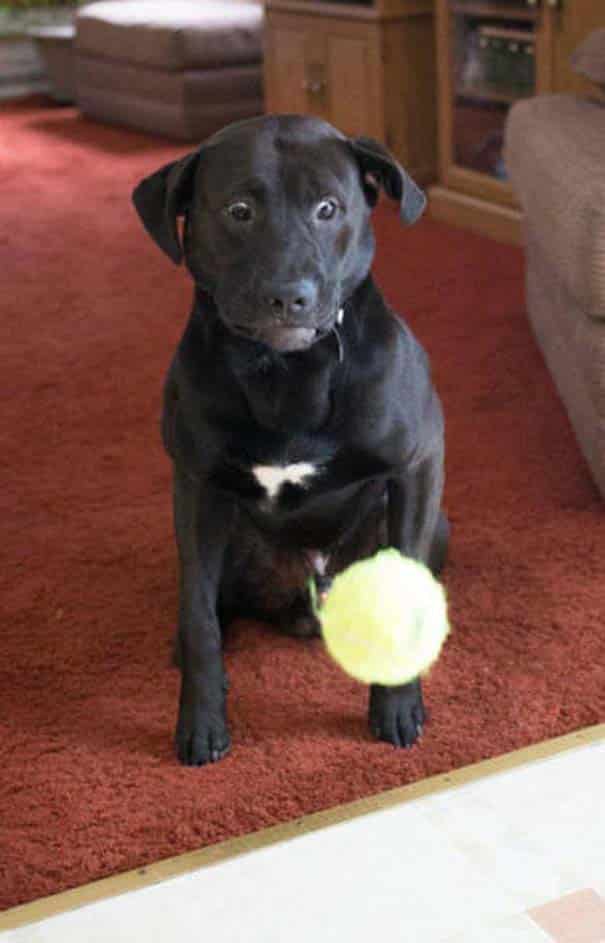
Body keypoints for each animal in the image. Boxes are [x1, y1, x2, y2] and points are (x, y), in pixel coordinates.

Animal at [132, 116, 446, 768]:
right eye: (239, 210)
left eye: (328, 208)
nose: (288, 295)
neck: (285, 371)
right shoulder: (194, 488)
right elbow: (198, 617)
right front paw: (201, 719)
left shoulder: (418, 464)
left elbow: (402, 594)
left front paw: (396, 704)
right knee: (209, 604)